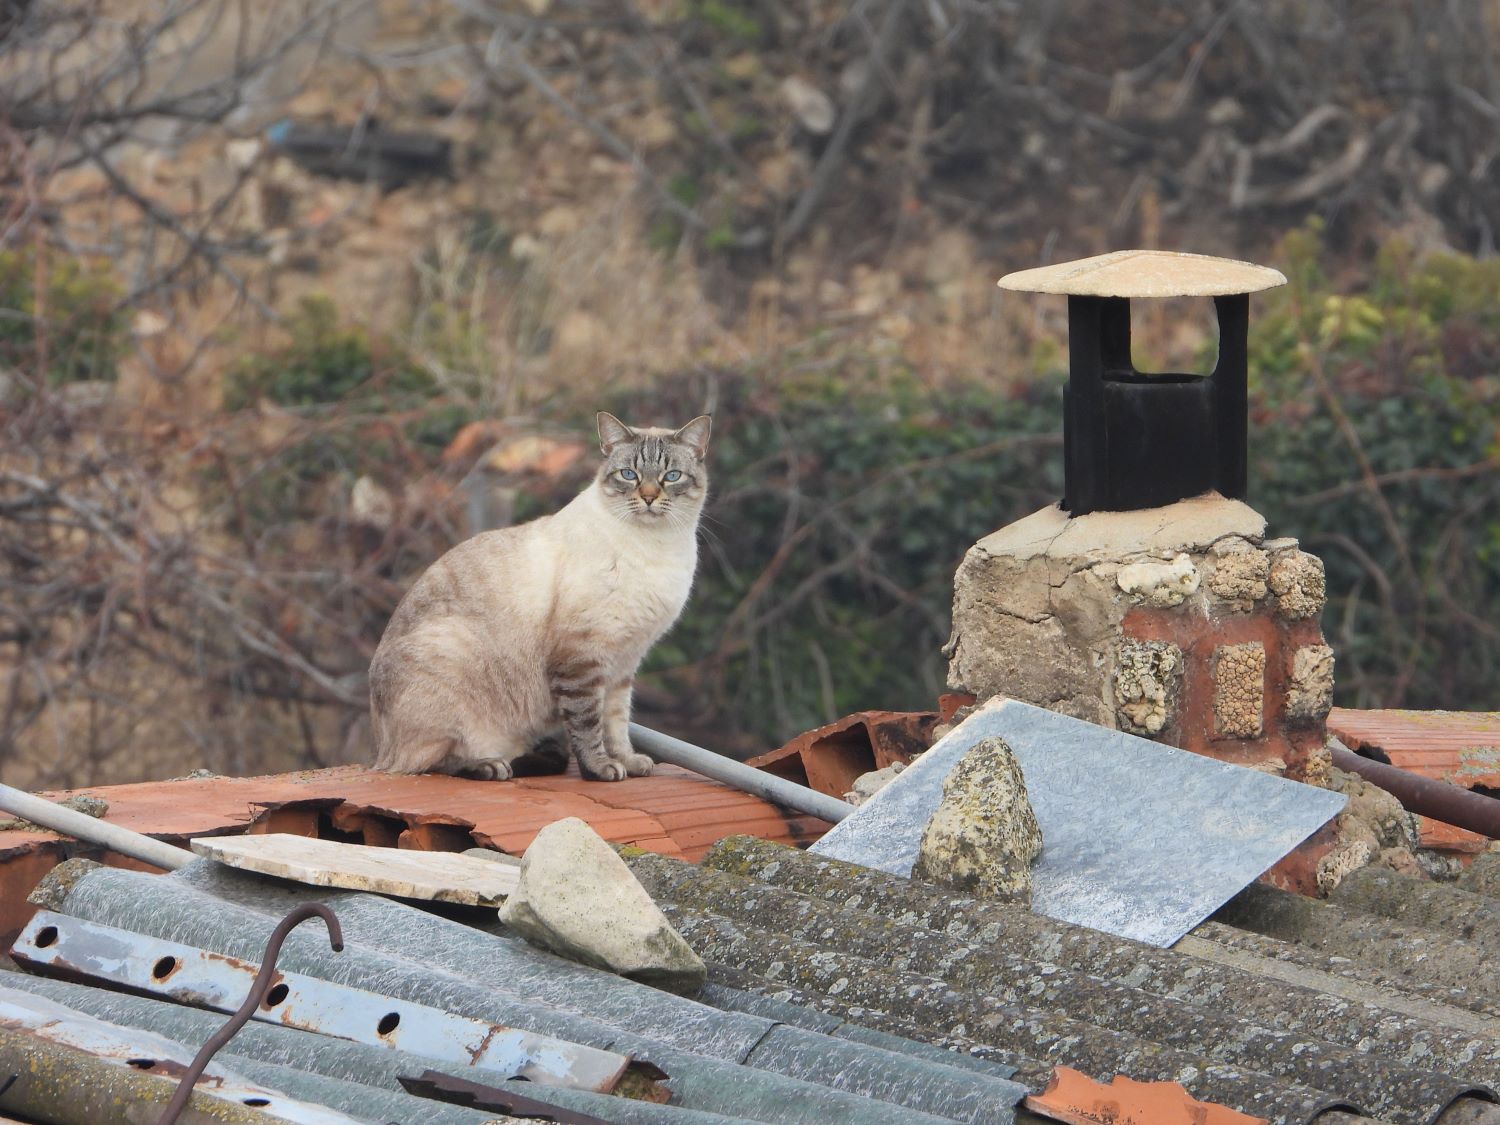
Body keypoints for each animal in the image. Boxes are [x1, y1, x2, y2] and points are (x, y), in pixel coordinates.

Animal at [367, 414, 708, 786]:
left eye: (671, 476)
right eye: (629, 475)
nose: (647, 497)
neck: (656, 546)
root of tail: (379, 750)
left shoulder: (623, 663)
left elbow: (616, 725)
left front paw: (628, 763)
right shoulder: (583, 658)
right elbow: (588, 724)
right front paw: (600, 770)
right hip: (451, 657)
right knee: (429, 764)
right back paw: (489, 766)